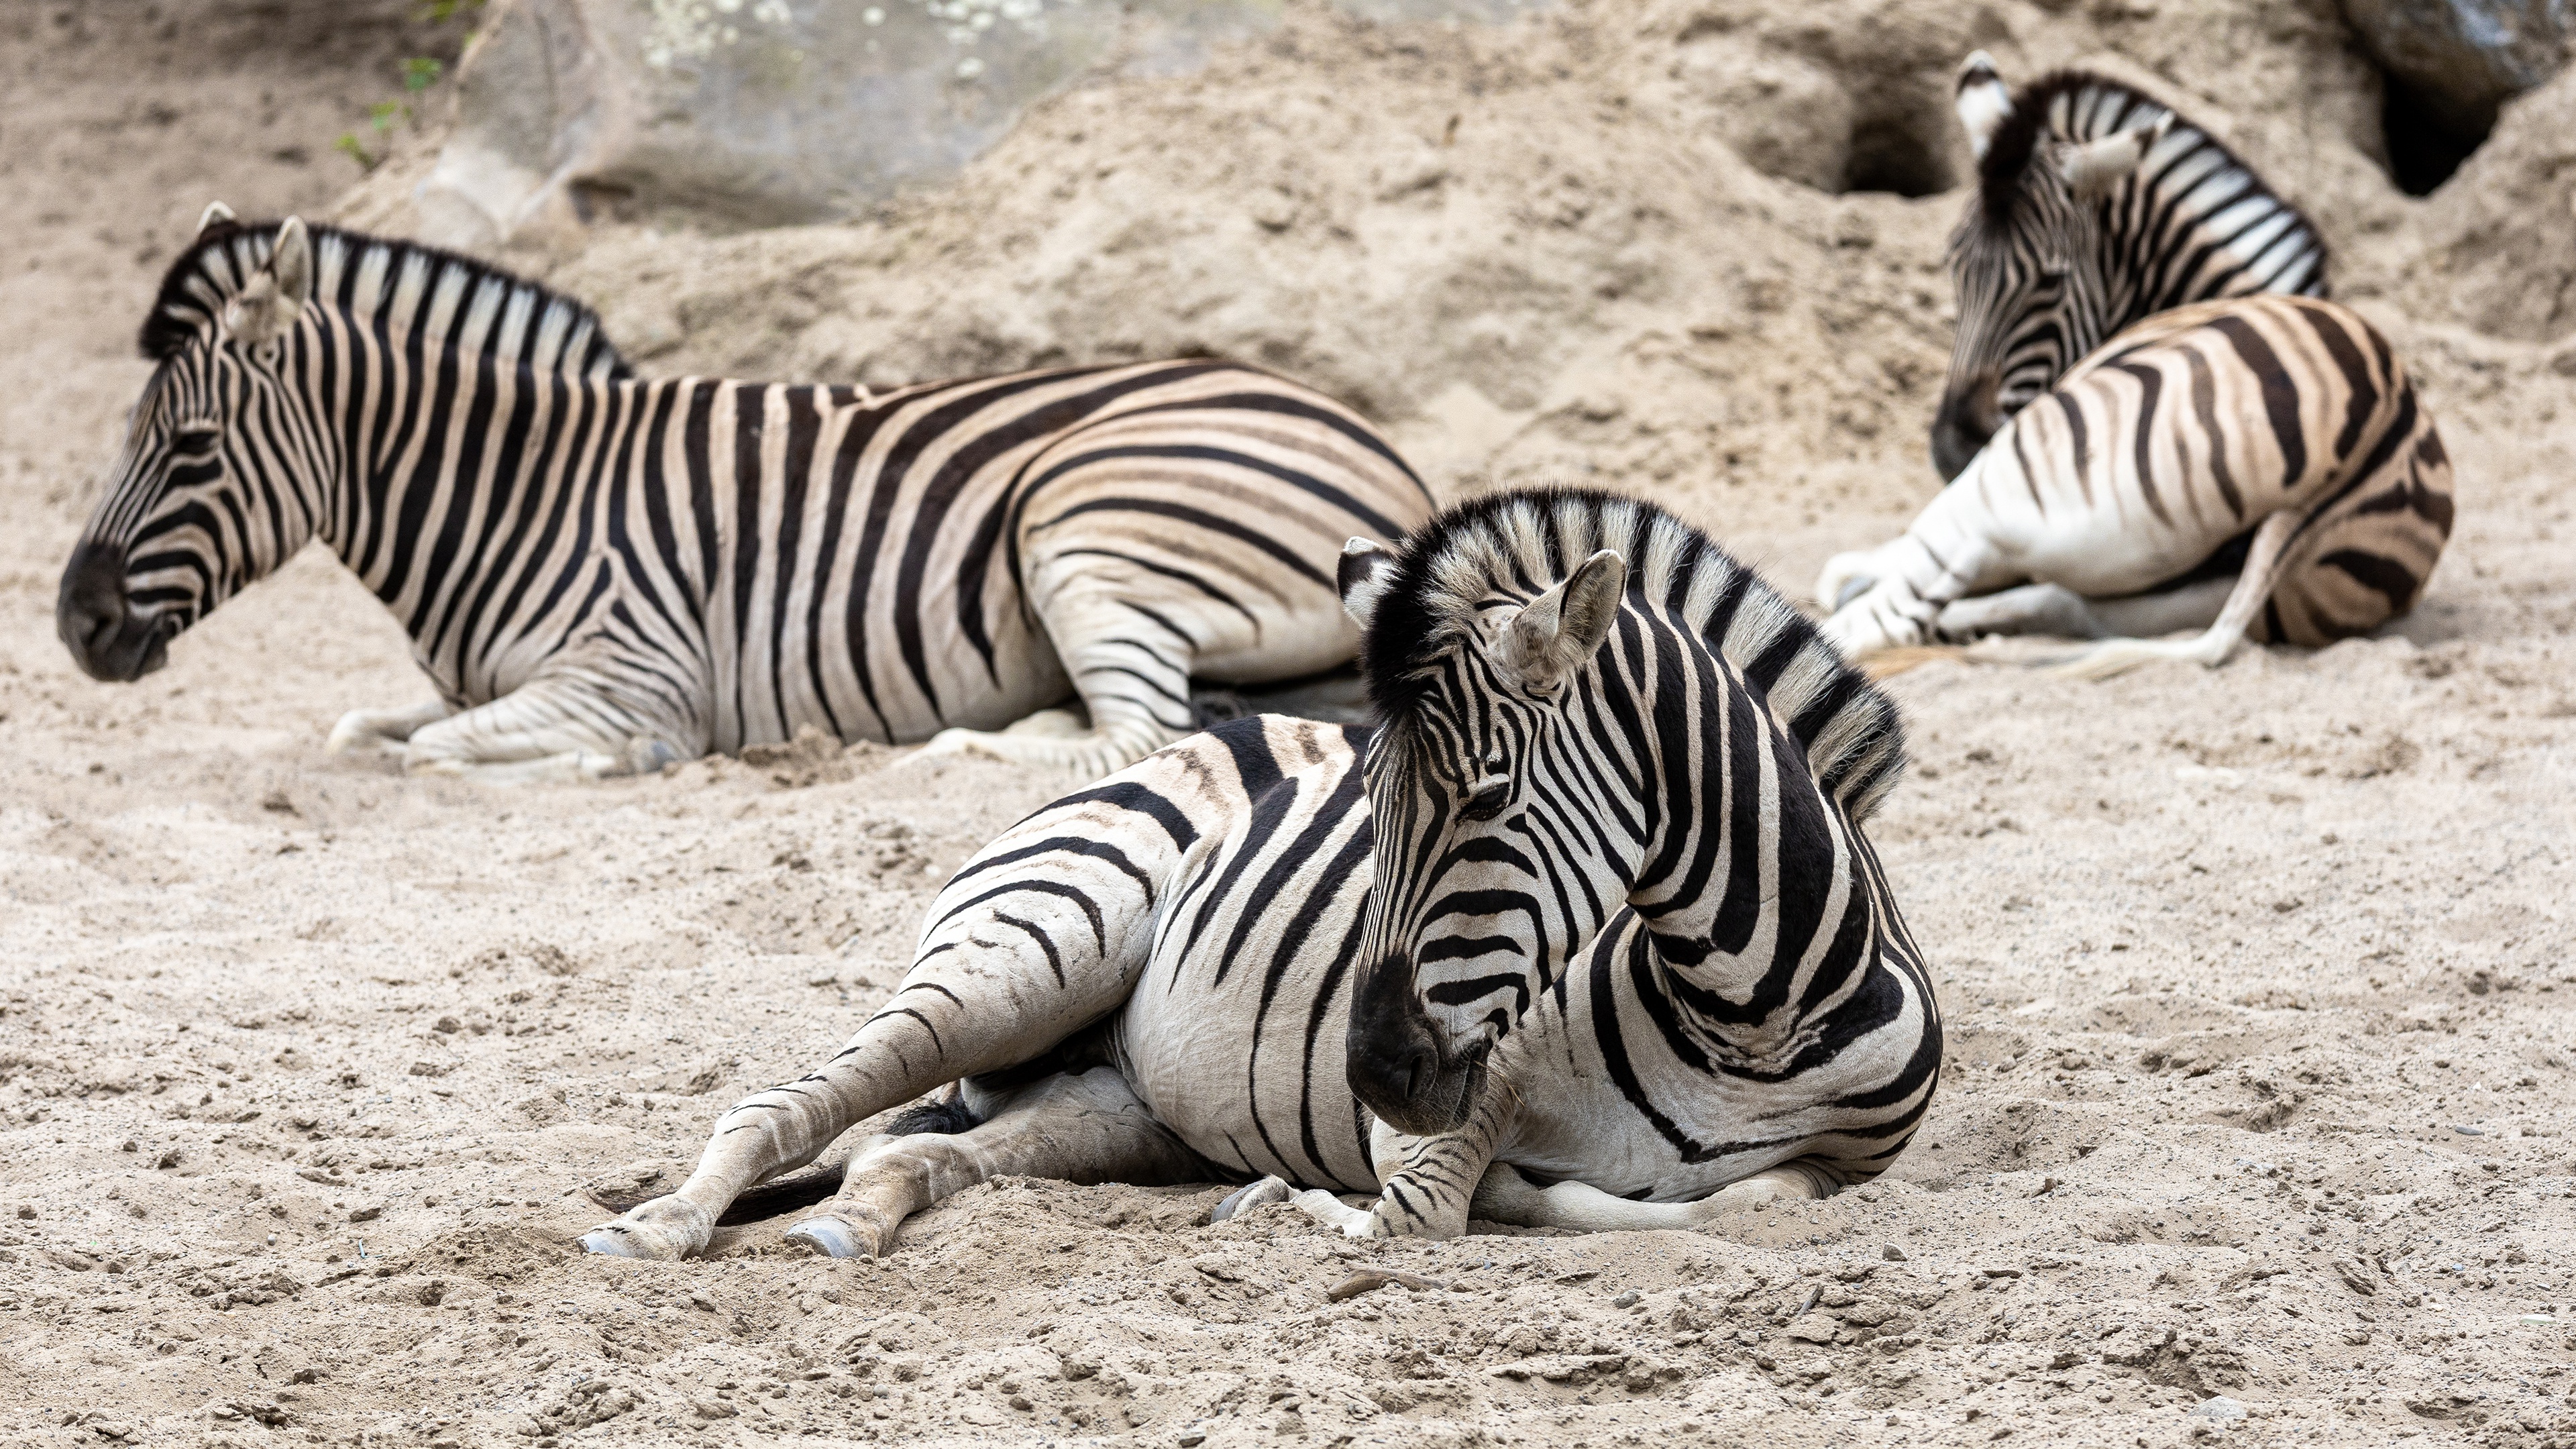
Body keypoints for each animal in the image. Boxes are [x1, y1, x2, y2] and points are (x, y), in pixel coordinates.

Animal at [55, 206, 1432, 778]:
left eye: (191, 449)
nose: (75, 627)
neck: (510, 496)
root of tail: (1375, 443)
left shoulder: (632, 670)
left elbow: (444, 751)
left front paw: (627, 764)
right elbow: (367, 731)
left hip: (1084, 521)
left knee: (1142, 728)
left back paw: (960, 744)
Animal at [580, 487, 1937, 1252]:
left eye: (1487, 800)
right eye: (1365, 811)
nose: (1369, 1072)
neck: (1745, 1024)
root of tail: (1203, 734)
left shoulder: (1851, 1169)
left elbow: (1753, 1204)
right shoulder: (1456, 1106)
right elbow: (1420, 1213)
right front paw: (1305, 1208)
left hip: (1115, 1104)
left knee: (905, 1156)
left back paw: (846, 1229)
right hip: (1026, 955)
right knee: (781, 1105)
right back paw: (660, 1229)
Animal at [1813, 296, 2452, 680]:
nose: (1948, 445)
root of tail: (2378, 431)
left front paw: (1844, 578)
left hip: (2013, 477)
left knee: (1877, 621)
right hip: (2189, 588)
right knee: (2066, 606)